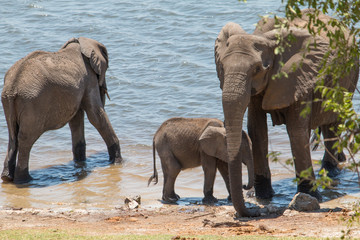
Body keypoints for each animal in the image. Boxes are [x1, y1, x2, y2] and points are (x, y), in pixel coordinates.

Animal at [1, 37, 124, 184]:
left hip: (7, 102)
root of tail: (12, 87)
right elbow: (95, 115)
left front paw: (80, 163)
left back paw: (7, 178)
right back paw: (25, 180)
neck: (79, 42)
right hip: (31, 104)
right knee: (26, 139)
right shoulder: (89, 78)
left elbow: (76, 119)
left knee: (12, 136)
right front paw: (118, 162)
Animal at [215, 9, 358, 217]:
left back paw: (330, 172)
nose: (244, 187)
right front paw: (263, 196)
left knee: (332, 123)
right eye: (222, 68)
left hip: (349, 76)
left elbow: (296, 131)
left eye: (257, 69)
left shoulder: (301, 76)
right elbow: (257, 130)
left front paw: (310, 195)